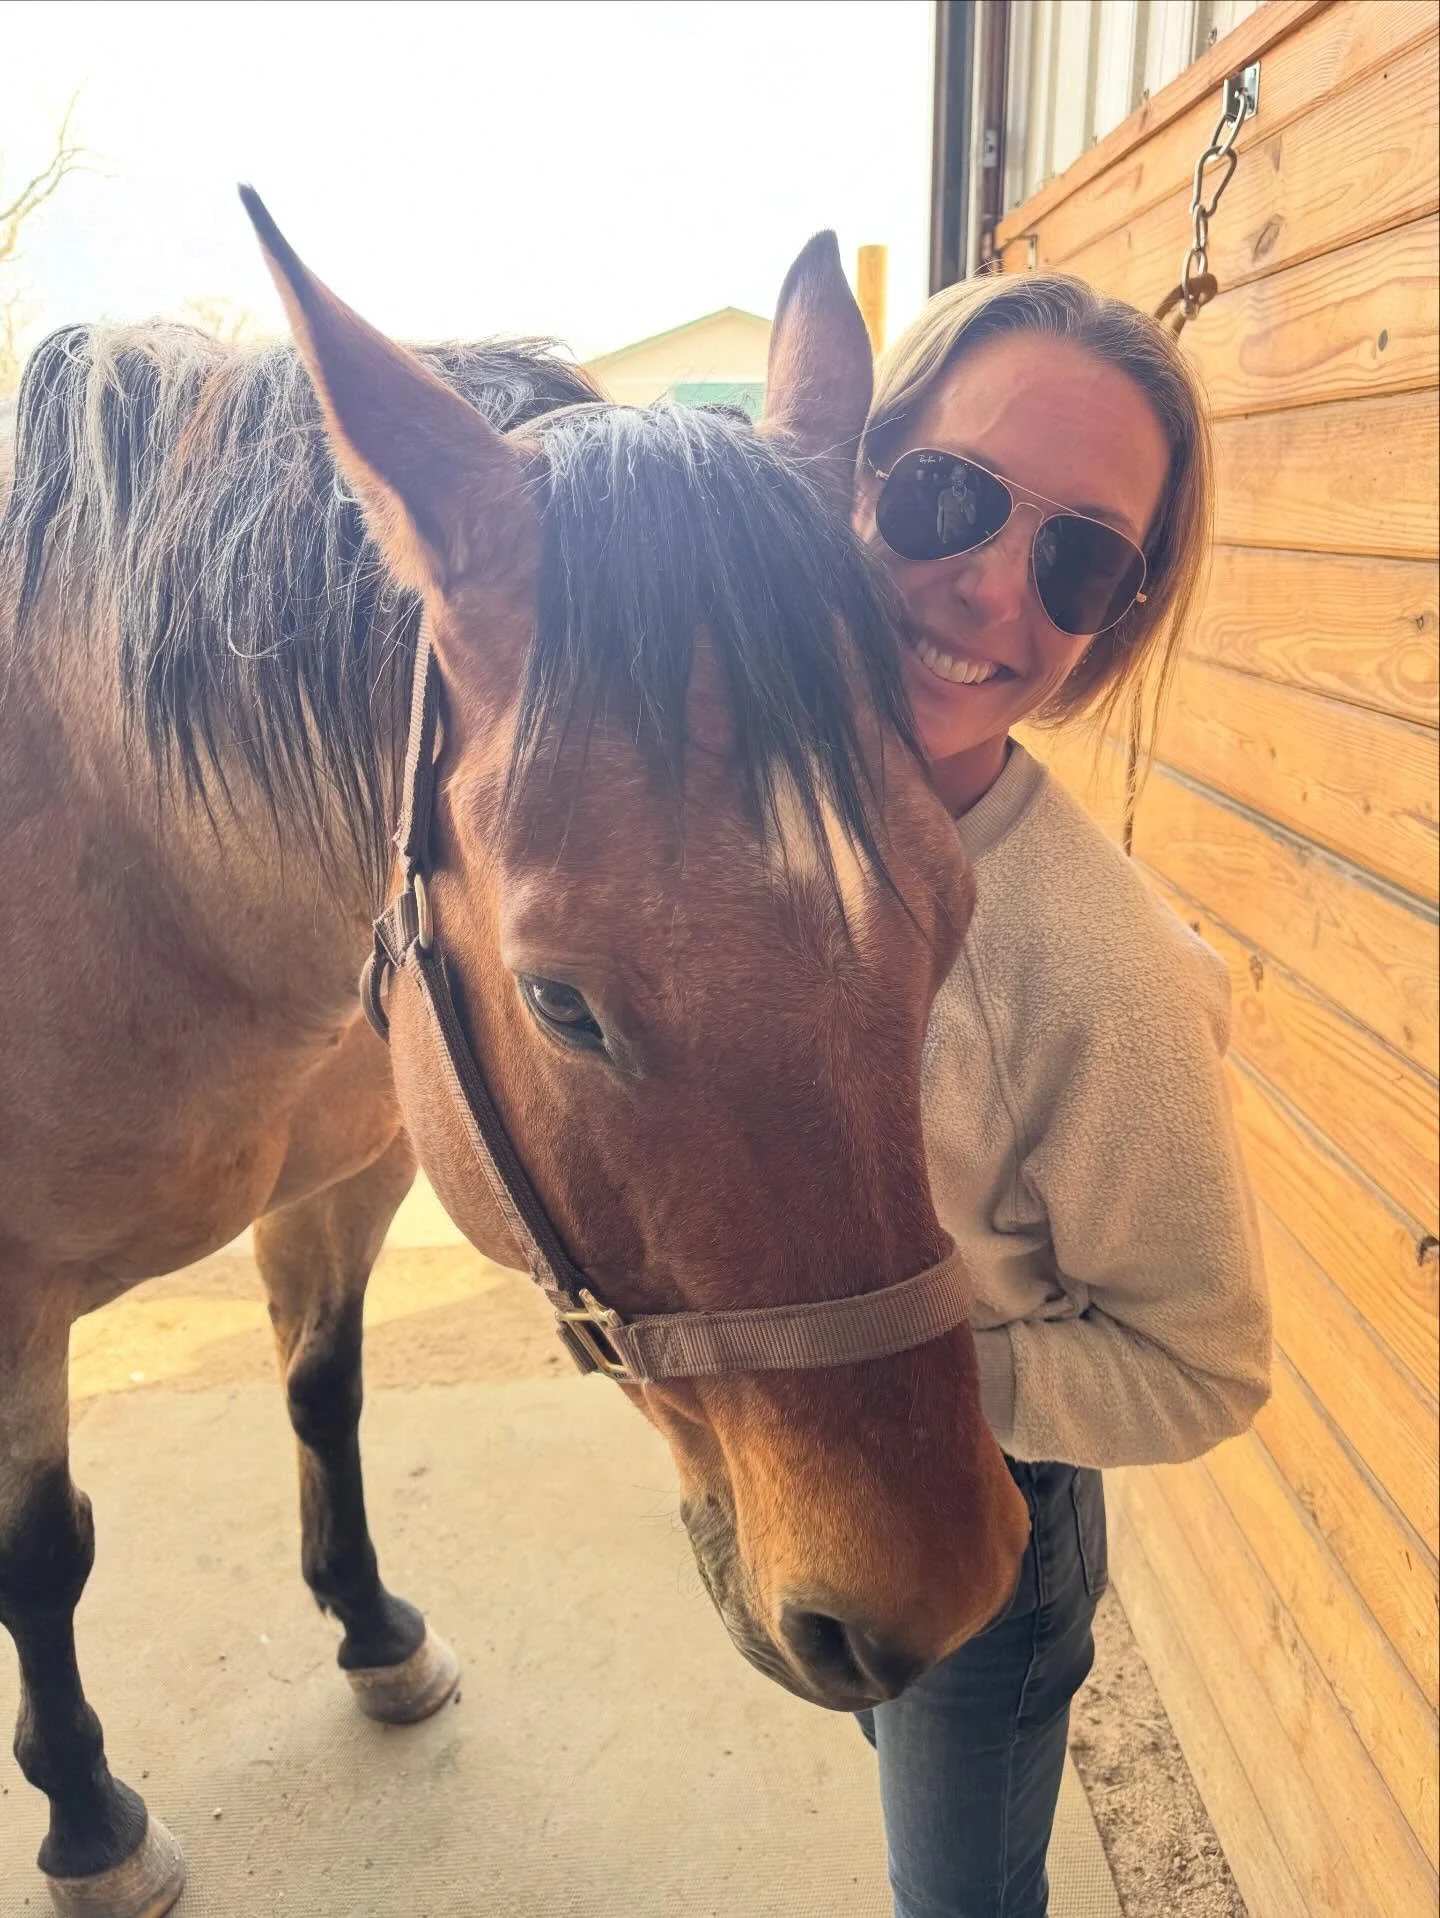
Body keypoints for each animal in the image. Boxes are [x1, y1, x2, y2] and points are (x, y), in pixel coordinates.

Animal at [0, 195, 1028, 1918]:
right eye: (560, 1001)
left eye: (954, 910)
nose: (942, 1593)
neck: (130, 863)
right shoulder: (11, 1299)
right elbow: (41, 1551)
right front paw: (88, 1811)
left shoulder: (351, 1180)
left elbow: (325, 1393)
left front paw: (372, 1629)